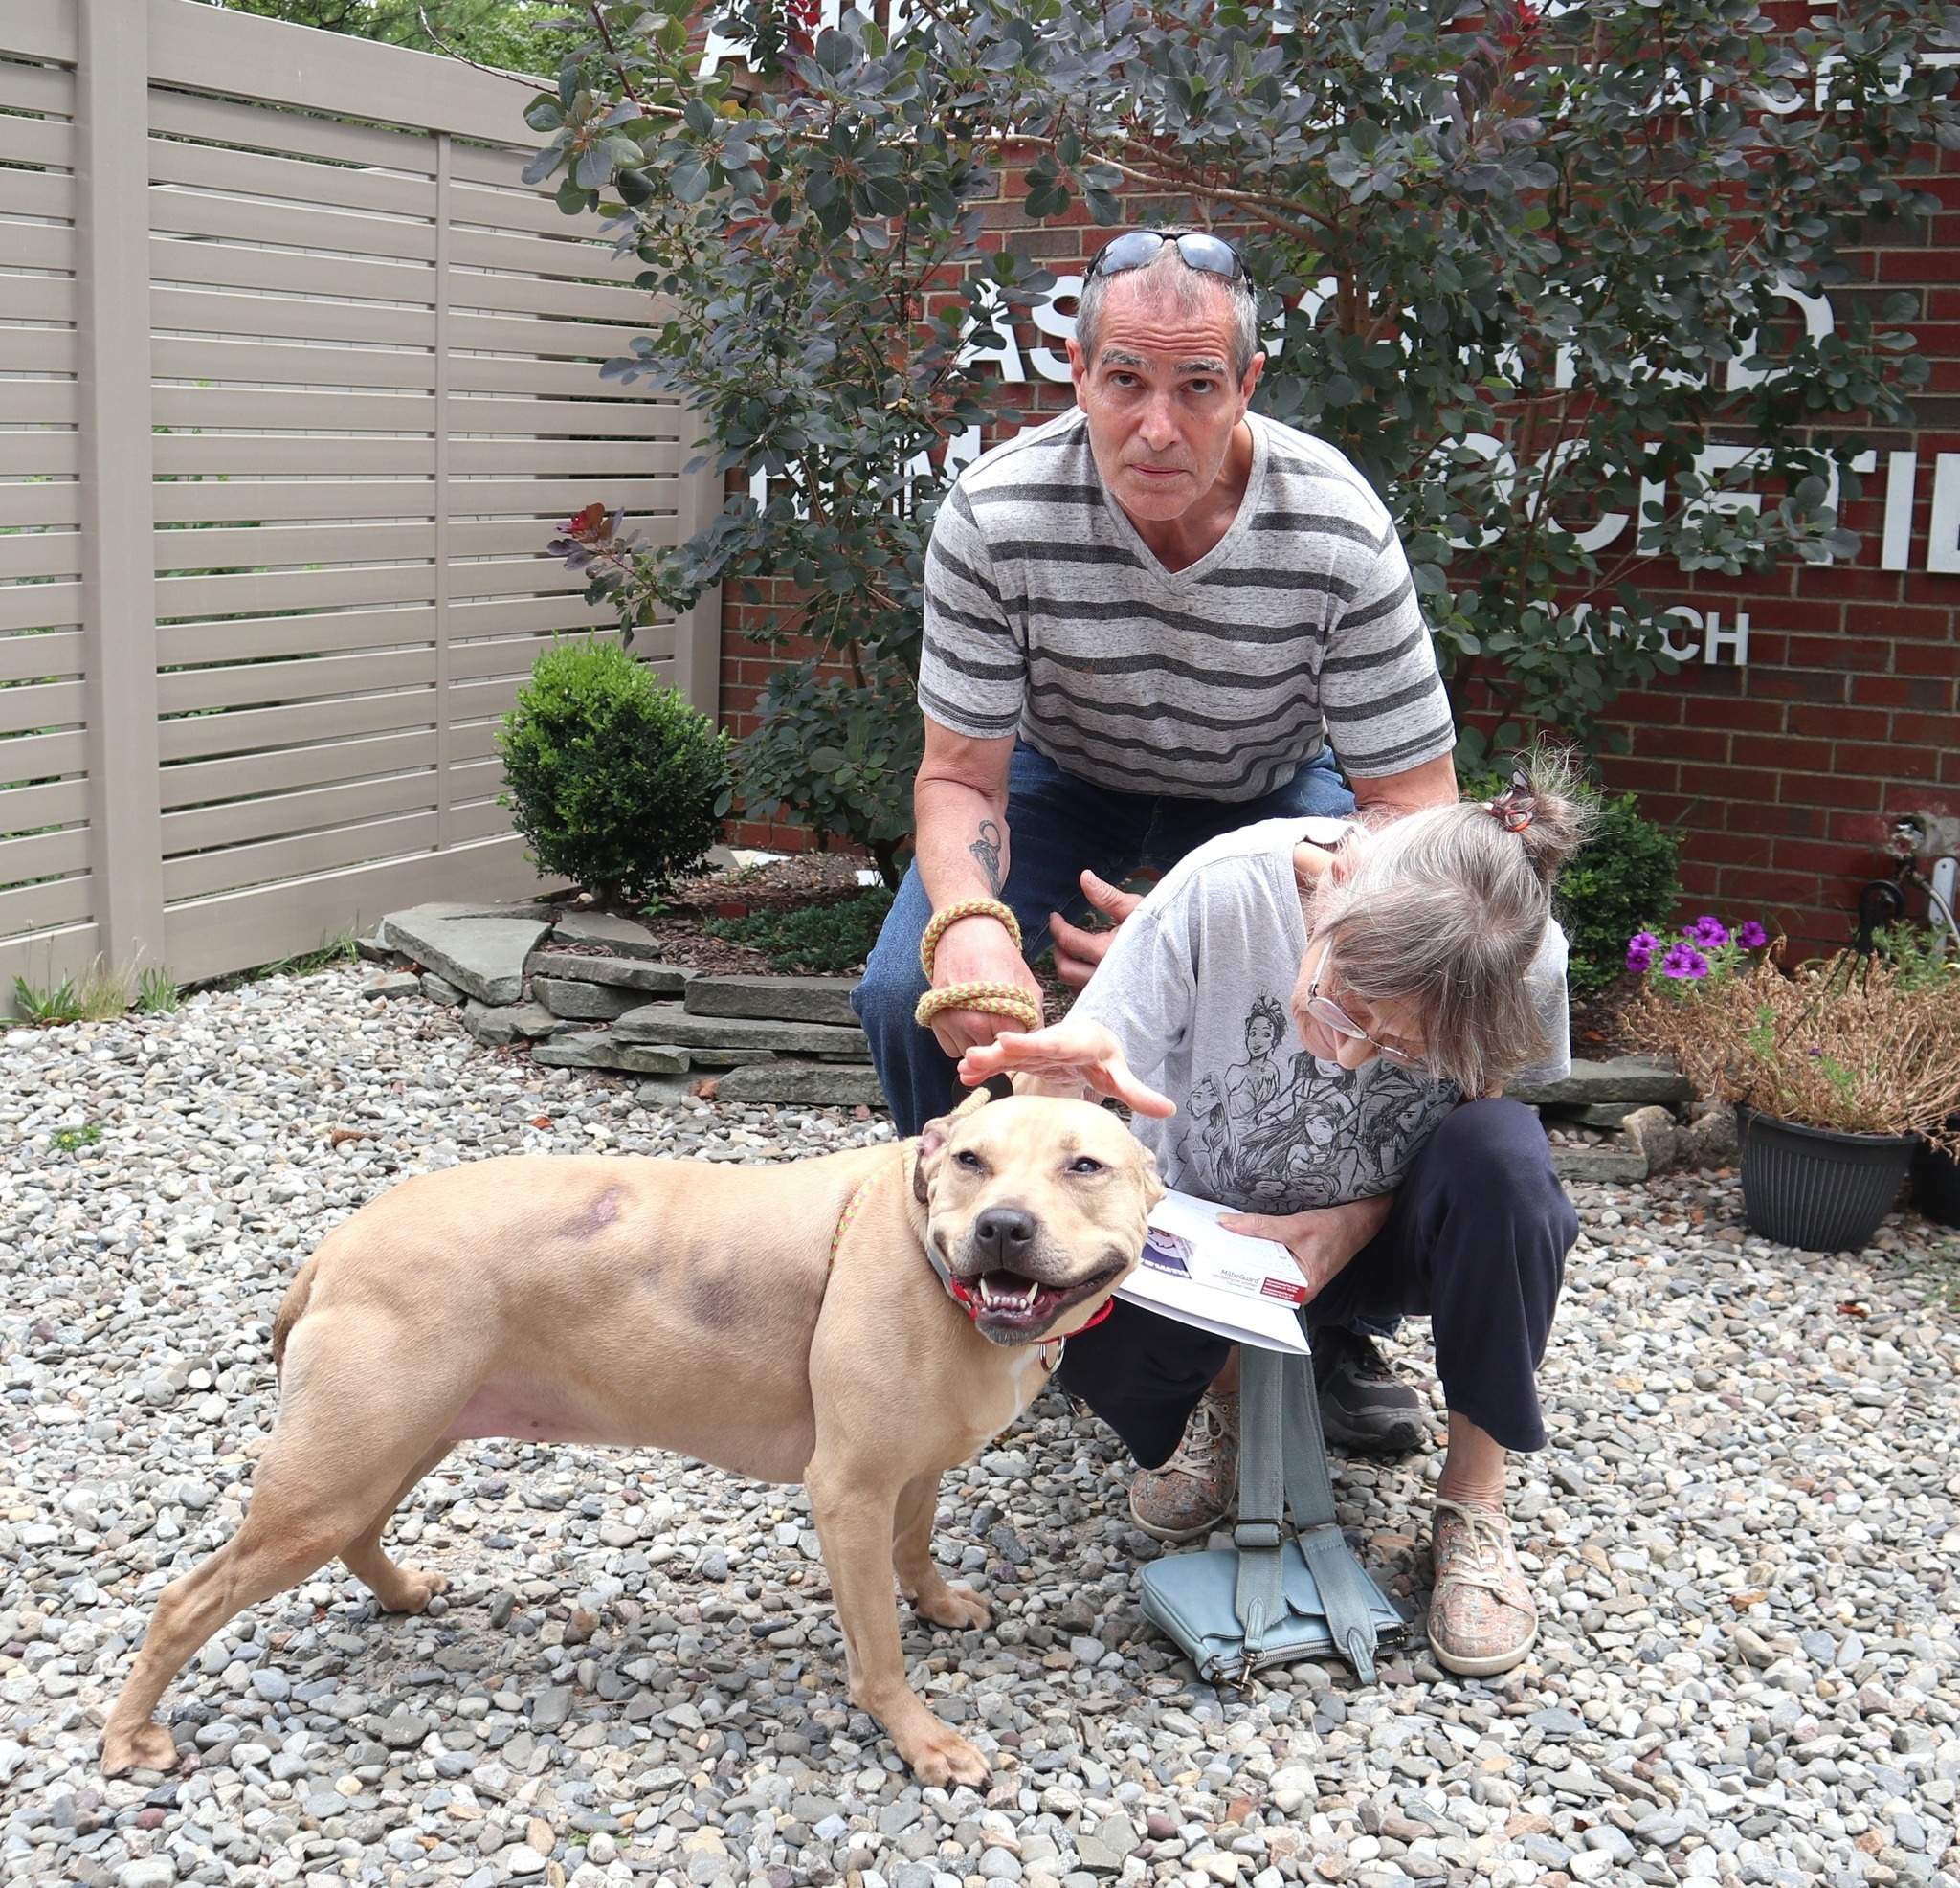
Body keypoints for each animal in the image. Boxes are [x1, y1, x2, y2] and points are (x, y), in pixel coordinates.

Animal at [99, 1090, 1152, 1788]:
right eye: (970, 1161)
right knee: (185, 1600)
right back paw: (129, 1734)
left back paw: (400, 1594)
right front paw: (919, 1736)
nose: (1003, 1227)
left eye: (1084, 1165)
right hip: (331, 1475)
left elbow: (916, 1545)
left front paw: (935, 1602)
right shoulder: (849, 1489)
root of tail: (335, 1243)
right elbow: (879, 1652)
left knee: (360, 1534)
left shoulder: (912, 1469)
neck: (922, 1247)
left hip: (400, 1443)